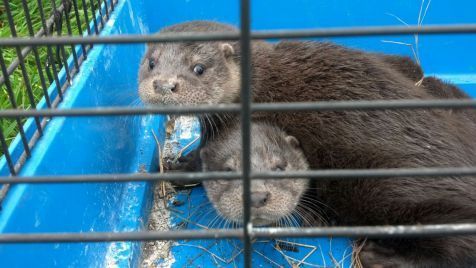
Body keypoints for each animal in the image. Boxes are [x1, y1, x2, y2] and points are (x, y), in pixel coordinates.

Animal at [138, 21, 476, 268]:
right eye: (151, 63)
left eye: (198, 68)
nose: (164, 84)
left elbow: (200, 161)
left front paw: (178, 168)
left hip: (395, 191)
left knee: (458, 243)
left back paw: (381, 256)